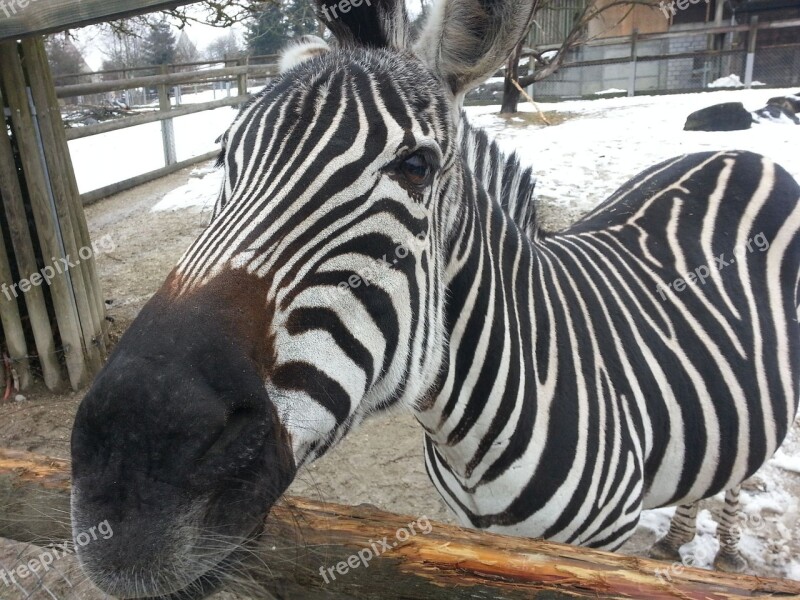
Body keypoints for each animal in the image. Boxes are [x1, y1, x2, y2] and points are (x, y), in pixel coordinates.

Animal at [70, 0, 800, 592]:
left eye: (416, 167)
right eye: (224, 158)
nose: (125, 469)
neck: (469, 436)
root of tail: (739, 154)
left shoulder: (602, 544)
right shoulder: (476, 540)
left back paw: (721, 549)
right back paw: (678, 537)